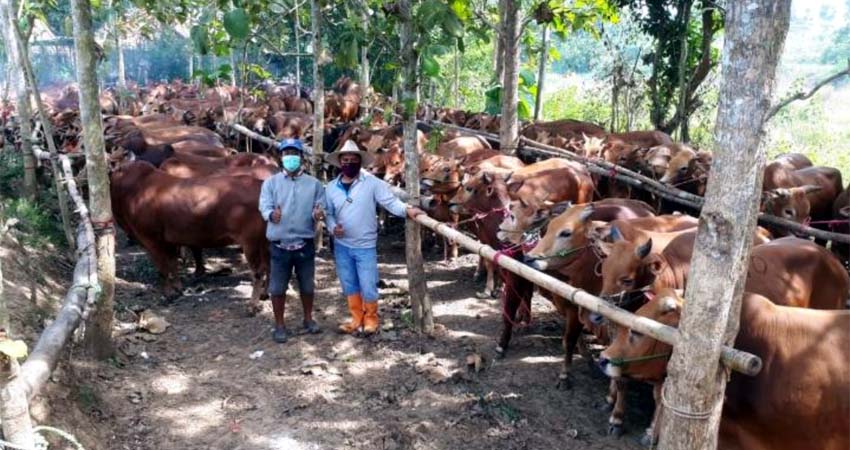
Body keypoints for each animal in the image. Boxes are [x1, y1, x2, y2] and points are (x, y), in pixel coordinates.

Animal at [110, 162, 268, 306]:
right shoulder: (170, 240)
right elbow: (173, 264)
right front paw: (178, 288)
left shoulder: (151, 239)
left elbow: (163, 269)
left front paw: (168, 294)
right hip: (265, 241)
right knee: (269, 266)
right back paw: (264, 295)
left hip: (251, 242)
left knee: (258, 272)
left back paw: (253, 305)